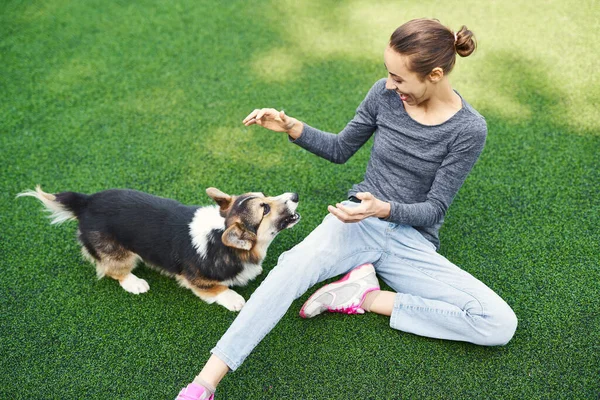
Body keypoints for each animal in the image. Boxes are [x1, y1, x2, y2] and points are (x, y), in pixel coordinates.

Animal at [18, 186, 300, 310]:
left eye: (265, 197)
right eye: (265, 209)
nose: (295, 195)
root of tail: (86, 202)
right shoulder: (195, 279)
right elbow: (218, 289)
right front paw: (234, 300)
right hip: (120, 254)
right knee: (113, 270)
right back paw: (135, 283)